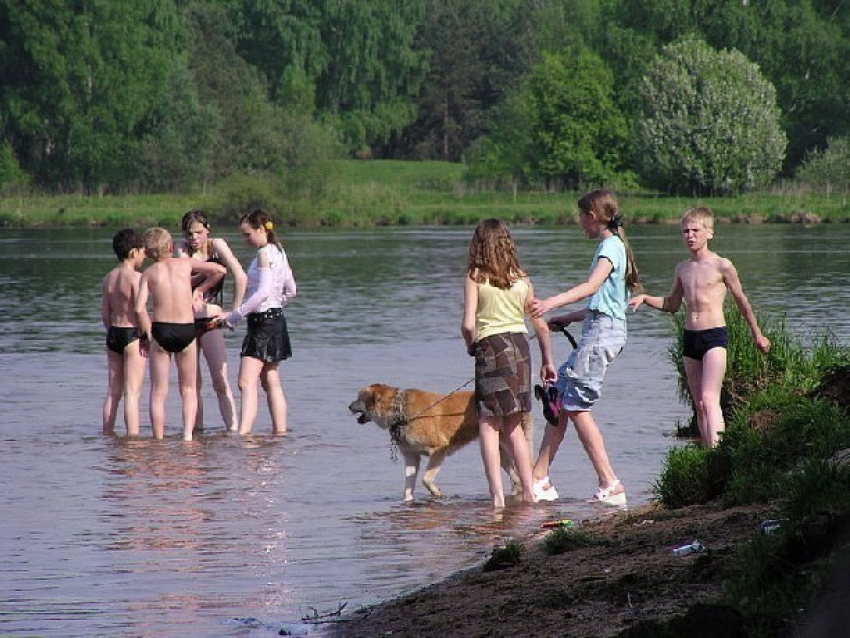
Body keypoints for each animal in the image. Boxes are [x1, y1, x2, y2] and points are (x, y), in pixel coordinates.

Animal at [344, 384, 528, 504]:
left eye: (359, 398)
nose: (348, 406)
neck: (400, 411)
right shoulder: (411, 457)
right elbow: (408, 486)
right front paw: (407, 501)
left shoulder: (439, 449)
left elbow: (426, 479)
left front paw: (436, 493)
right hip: (499, 451)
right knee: (516, 478)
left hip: (511, 442)